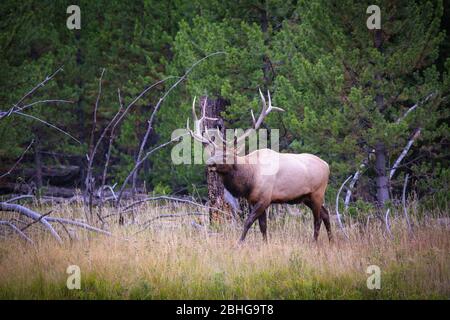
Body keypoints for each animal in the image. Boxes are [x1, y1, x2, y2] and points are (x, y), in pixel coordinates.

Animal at [186, 90, 330, 242]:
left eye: (226, 155)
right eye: (212, 153)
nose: (209, 163)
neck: (249, 179)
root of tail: (327, 166)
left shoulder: (265, 198)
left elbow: (248, 222)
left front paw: (239, 242)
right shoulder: (253, 200)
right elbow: (263, 227)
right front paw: (265, 243)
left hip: (317, 192)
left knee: (317, 219)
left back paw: (314, 241)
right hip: (307, 197)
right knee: (325, 214)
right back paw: (331, 240)